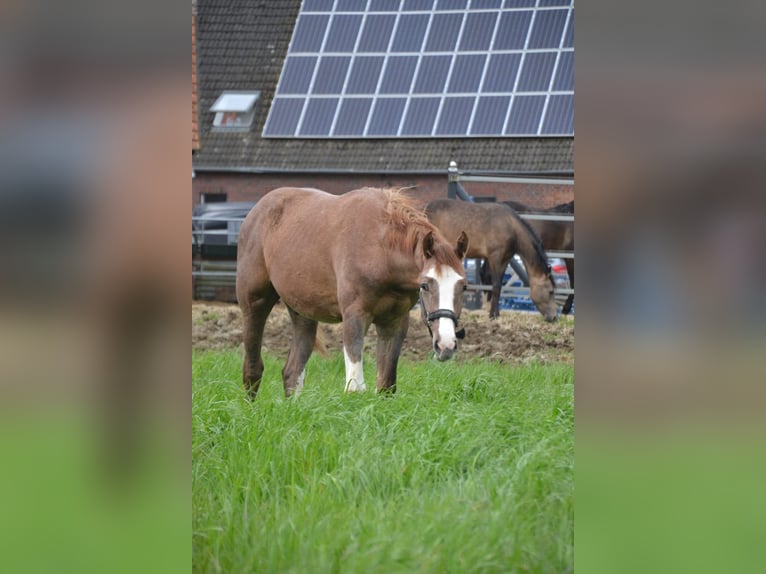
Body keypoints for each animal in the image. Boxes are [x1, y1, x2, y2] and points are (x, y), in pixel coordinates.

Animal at [238, 188, 468, 396]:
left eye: (463, 286)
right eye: (426, 285)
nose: (446, 346)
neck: (380, 249)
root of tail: (256, 211)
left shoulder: (394, 322)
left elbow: (386, 385)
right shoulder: (354, 317)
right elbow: (355, 387)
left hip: (302, 312)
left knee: (292, 373)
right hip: (255, 302)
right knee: (253, 369)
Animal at [426, 200, 560, 322]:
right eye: (551, 291)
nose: (554, 317)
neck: (510, 227)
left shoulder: (505, 259)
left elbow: (499, 286)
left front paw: (496, 313)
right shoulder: (495, 258)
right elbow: (495, 285)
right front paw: (493, 315)